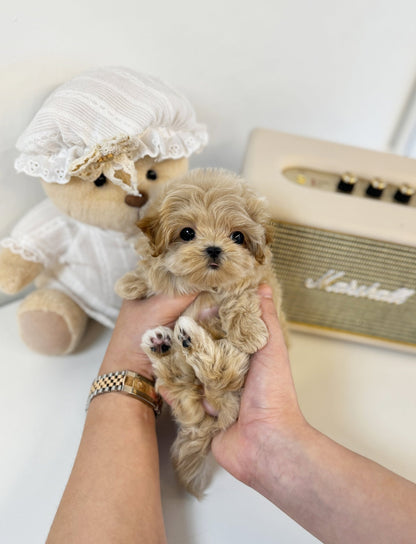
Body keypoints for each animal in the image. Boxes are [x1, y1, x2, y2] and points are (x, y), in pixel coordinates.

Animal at [117, 169, 286, 498]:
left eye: (237, 236)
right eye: (186, 233)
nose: (214, 249)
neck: (205, 285)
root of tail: (214, 415)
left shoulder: (253, 282)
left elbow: (239, 298)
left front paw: (249, 332)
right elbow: (153, 271)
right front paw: (131, 283)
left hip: (234, 382)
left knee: (220, 373)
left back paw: (189, 338)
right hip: (188, 389)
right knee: (181, 382)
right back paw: (164, 345)